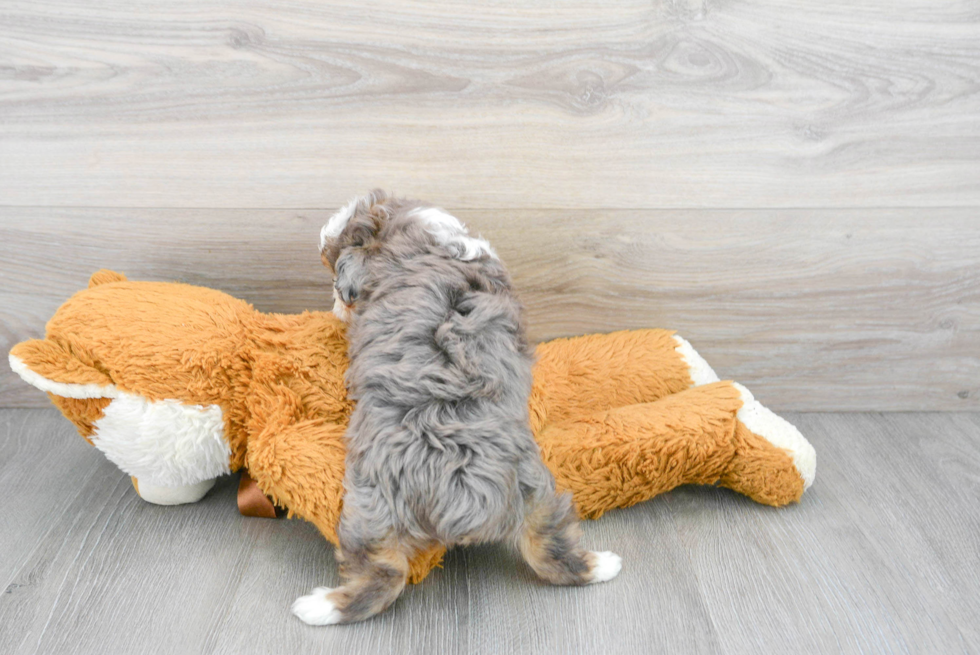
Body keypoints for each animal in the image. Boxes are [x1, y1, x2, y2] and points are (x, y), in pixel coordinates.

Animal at [290, 191, 624, 624]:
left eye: (333, 274)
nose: (335, 303)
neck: (410, 230)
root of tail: (466, 495)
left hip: (372, 508)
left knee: (383, 577)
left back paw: (317, 607)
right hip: (538, 492)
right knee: (553, 551)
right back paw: (604, 564)